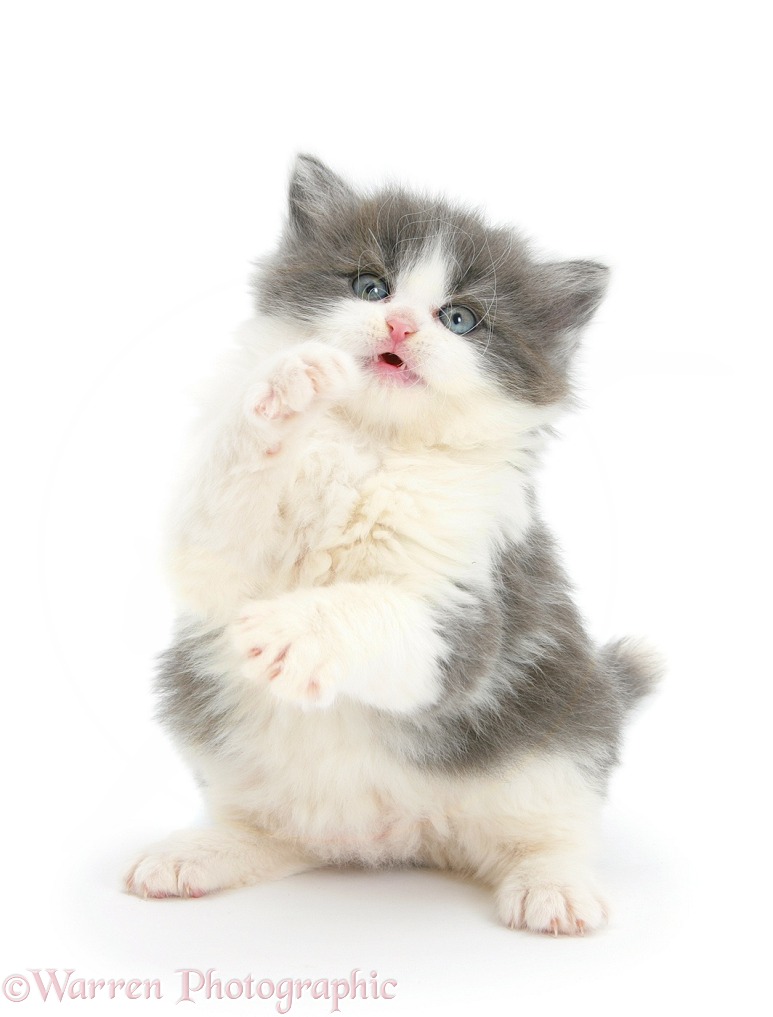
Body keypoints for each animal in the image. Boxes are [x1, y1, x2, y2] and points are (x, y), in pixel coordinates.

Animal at [126, 152, 659, 935]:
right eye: (370, 287)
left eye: (461, 319)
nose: (401, 326)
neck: (371, 448)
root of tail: (394, 833)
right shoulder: (214, 559)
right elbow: (220, 509)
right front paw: (284, 393)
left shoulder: (465, 612)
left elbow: (373, 610)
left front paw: (292, 633)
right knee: (271, 832)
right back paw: (198, 853)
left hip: (566, 733)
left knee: (552, 833)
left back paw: (554, 890)